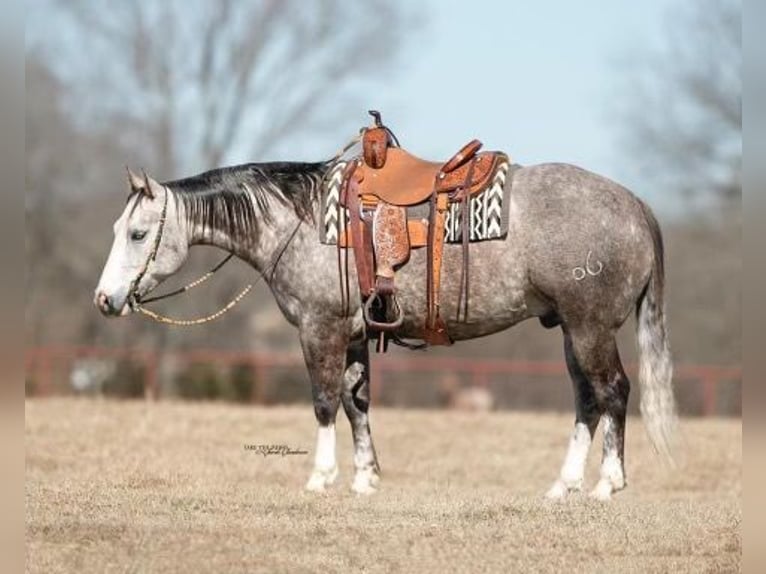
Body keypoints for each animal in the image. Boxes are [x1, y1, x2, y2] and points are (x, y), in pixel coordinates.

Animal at [94, 161, 680, 500]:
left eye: (138, 233)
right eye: (118, 228)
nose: (105, 300)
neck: (301, 222)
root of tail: (636, 205)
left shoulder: (320, 328)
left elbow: (324, 402)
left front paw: (321, 477)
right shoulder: (354, 335)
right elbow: (357, 403)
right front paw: (364, 477)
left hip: (590, 327)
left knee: (614, 392)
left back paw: (607, 483)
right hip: (571, 332)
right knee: (587, 400)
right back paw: (564, 484)